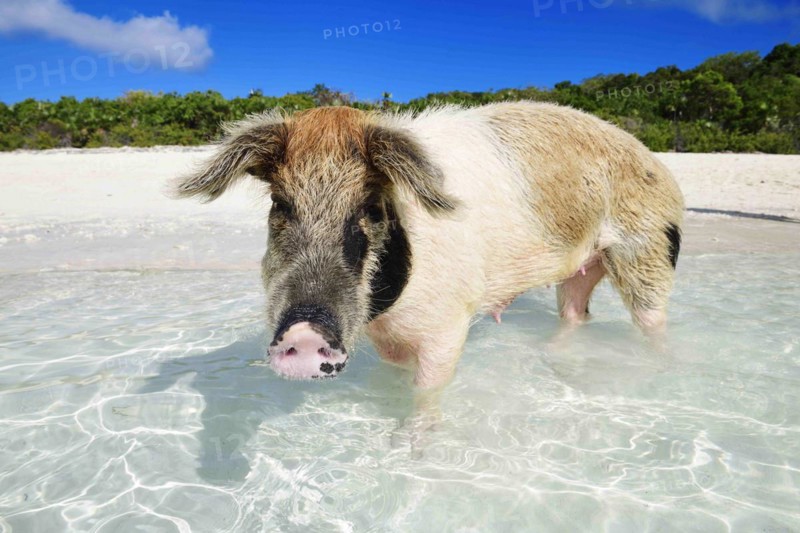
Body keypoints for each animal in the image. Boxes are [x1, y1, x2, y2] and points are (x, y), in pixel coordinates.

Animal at [174, 102, 684, 389]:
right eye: (280, 204)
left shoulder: (450, 323)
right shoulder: (388, 340)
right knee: (576, 311)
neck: (383, 314)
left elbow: (428, 393)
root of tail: (660, 167)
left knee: (654, 318)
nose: (304, 331)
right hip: (584, 265)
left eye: (371, 207)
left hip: (650, 246)